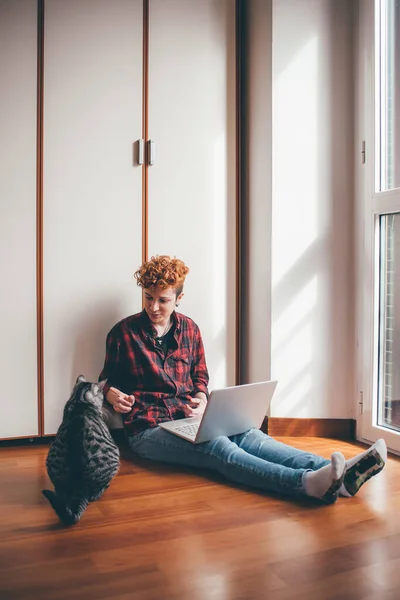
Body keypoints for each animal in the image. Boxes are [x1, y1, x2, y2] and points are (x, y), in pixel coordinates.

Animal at [43, 376, 120, 524]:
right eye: (101, 394)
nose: (103, 399)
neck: (80, 400)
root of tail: (80, 486)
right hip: (115, 459)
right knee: (94, 495)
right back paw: (104, 487)